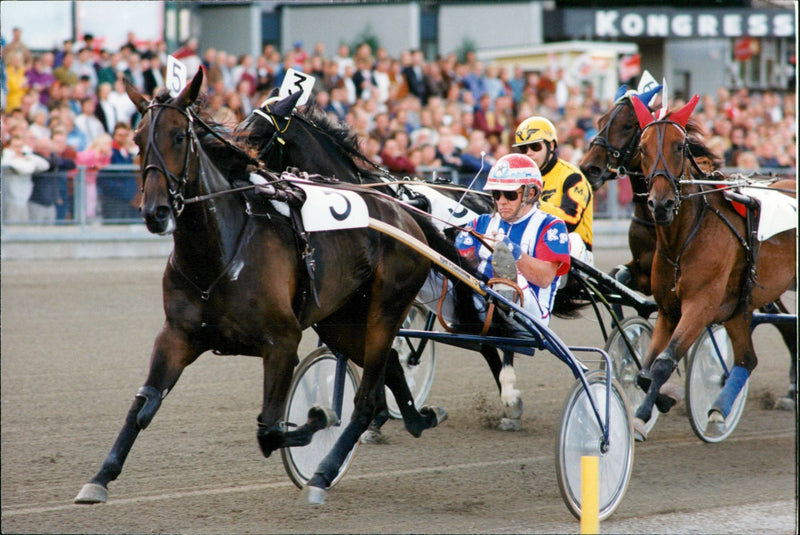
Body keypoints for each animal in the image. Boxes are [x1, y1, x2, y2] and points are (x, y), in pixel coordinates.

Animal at [75, 68, 476, 506]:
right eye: (136, 139)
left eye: (179, 135)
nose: (155, 211)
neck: (218, 253)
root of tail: (407, 216)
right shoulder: (177, 335)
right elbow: (143, 405)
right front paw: (100, 477)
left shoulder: (282, 342)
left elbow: (269, 429)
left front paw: (318, 416)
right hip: (343, 320)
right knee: (386, 374)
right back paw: (418, 418)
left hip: (386, 311)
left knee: (367, 399)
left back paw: (322, 473)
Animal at [632, 95, 792, 440]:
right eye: (642, 147)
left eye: (680, 146)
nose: (661, 204)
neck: (682, 239)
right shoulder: (669, 310)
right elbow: (644, 371)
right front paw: (660, 400)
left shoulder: (700, 305)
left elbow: (663, 363)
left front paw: (642, 414)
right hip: (738, 308)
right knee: (747, 358)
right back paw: (719, 410)